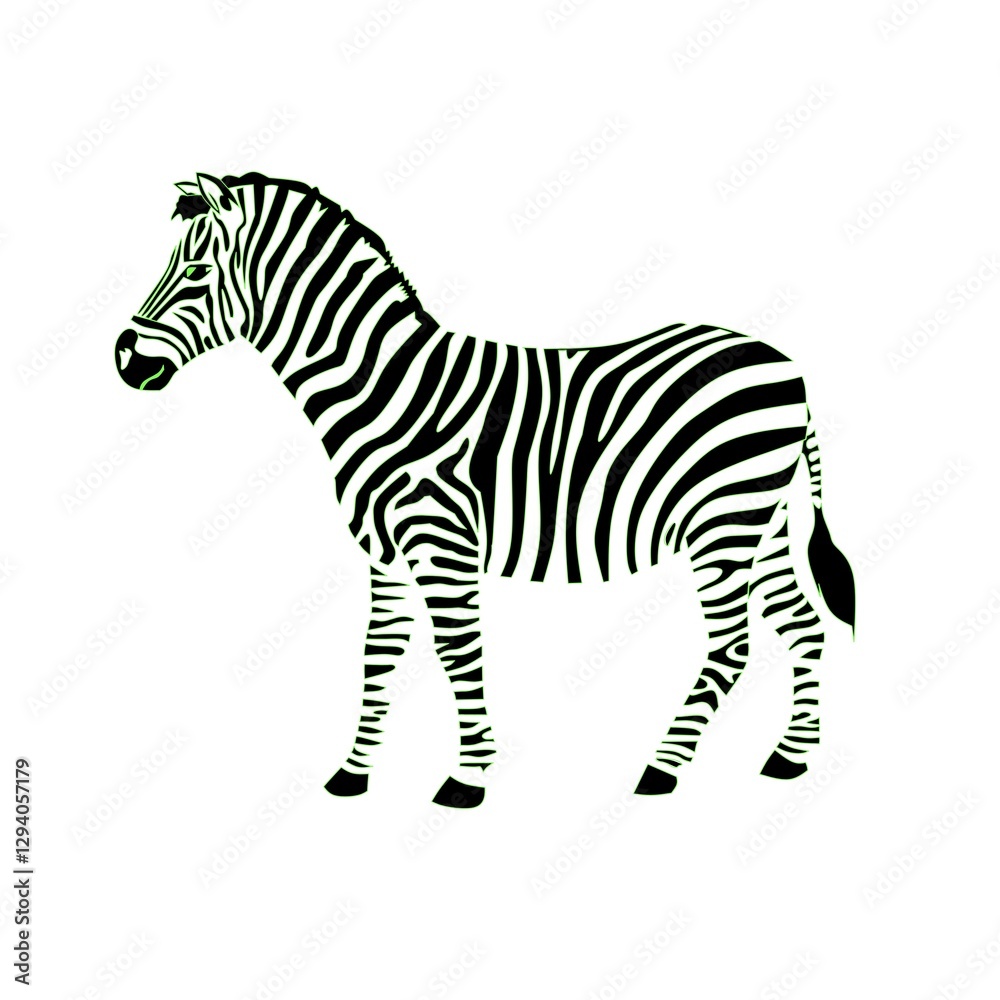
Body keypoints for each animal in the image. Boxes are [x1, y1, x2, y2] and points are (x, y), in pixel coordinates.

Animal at [115, 171, 855, 808]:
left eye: (195, 274)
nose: (124, 359)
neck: (385, 391)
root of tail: (789, 369)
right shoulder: (383, 551)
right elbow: (378, 656)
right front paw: (354, 772)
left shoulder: (441, 541)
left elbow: (456, 653)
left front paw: (467, 778)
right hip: (759, 522)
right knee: (802, 625)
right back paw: (790, 757)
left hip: (721, 525)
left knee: (734, 645)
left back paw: (661, 769)